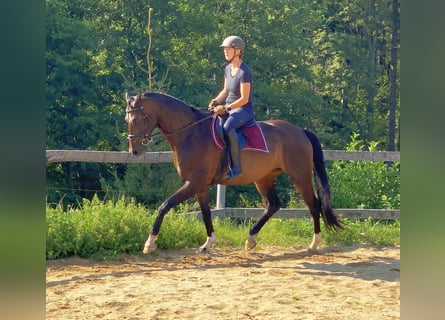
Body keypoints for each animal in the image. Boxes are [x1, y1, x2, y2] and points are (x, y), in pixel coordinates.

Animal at [125, 91, 344, 254]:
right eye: (127, 119)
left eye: (139, 118)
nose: (134, 151)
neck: (191, 133)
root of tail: (300, 131)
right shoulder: (200, 186)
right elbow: (206, 213)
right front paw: (209, 243)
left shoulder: (193, 183)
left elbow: (164, 206)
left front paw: (150, 243)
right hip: (263, 178)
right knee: (273, 205)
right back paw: (251, 239)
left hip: (299, 175)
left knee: (313, 205)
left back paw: (314, 243)